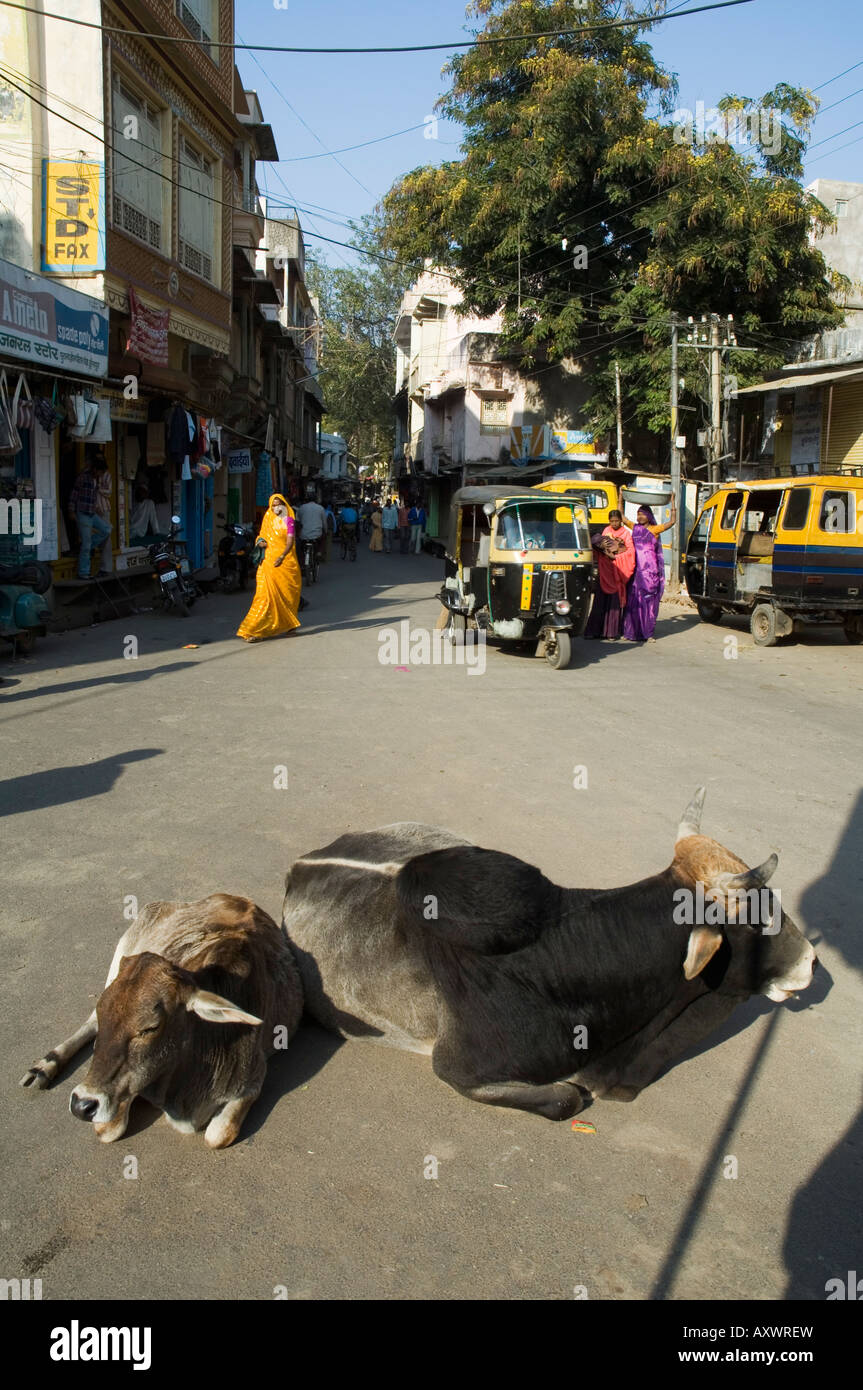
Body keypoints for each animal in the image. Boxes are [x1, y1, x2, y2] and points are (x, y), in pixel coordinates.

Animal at [20, 895, 302, 1145]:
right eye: (104, 1011)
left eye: (151, 1027)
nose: (82, 1104)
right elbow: (107, 1131)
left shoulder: (254, 1079)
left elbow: (218, 1135)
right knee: (89, 1023)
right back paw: (44, 1067)